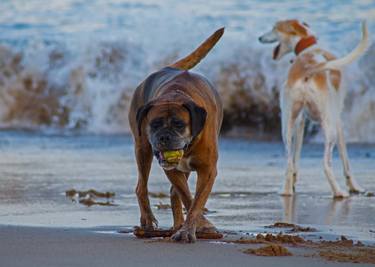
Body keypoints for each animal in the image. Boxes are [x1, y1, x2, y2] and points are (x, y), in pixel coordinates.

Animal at [128, 28, 225, 244]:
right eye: (154, 124)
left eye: (179, 124)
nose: (164, 137)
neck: (175, 95)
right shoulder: (171, 169)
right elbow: (189, 198)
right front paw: (200, 224)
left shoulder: (208, 171)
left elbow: (195, 201)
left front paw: (189, 229)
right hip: (142, 149)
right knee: (141, 187)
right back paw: (148, 219)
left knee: (173, 193)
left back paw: (178, 225)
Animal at [260, 19, 368, 198]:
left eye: (275, 28)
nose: (259, 38)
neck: (309, 49)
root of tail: (308, 68)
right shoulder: (338, 120)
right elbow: (346, 161)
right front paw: (355, 186)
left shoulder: (300, 121)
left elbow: (296, 159)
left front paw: (294, 182)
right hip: (330, 129)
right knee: (326, 165)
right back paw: (339, 192)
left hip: (287, 126)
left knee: (289, 163)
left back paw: (287, 191)